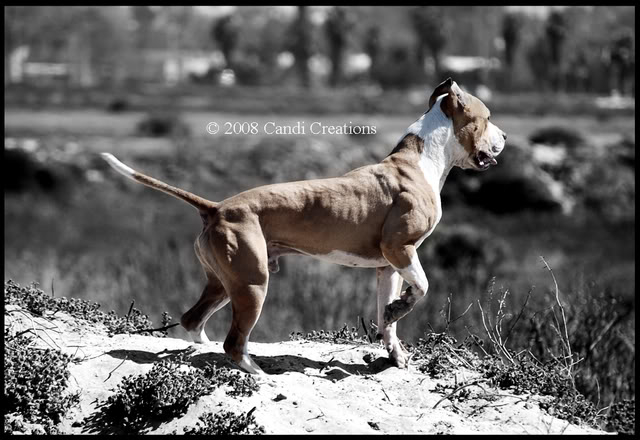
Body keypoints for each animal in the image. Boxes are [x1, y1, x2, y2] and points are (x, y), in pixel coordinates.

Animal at [104, 77, 504, 372]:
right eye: (487, 117)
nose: (505, 137)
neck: (424, 158)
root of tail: (216, 207)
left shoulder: (388, 266)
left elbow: (388, 317)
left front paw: (394, 347)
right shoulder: (400, 249)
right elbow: (422, 287)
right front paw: (399, 309)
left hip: (223, 283)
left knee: (192, 319)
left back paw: (202, 351)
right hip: (252, 284)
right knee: (234, 341)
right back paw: (256, 373)